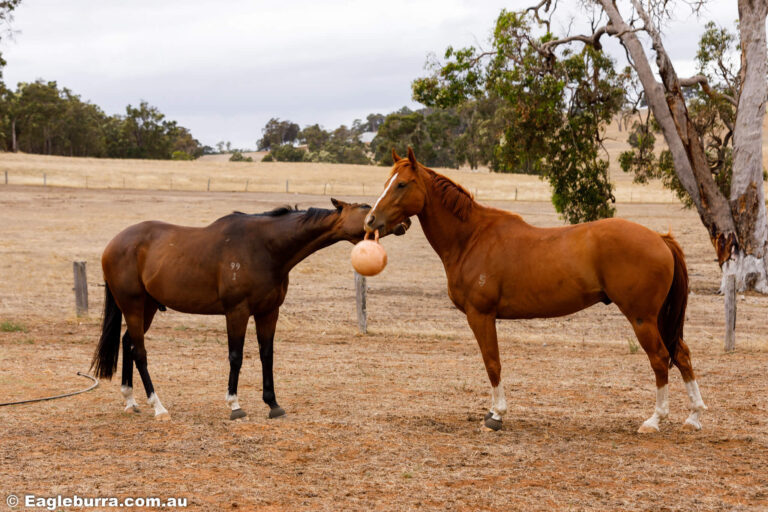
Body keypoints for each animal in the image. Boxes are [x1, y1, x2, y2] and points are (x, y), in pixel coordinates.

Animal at [91, 199, 408, 420]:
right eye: (365, 208)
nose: (402, 222)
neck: (265, 247)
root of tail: (114, 244)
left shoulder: (269, 312)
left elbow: (267, 354)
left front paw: (273, 404)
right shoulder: (237, 312)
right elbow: (236, 356)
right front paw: (235, 405)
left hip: (146, 308)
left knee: (128, 343)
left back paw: (130, 401)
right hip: (133, 305)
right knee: (140, 353)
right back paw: (158, 407)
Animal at [366, 148, 708, 432]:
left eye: (402, 184)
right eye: (386, 181)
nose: (371, 220)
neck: (472, 237)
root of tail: (659, 238)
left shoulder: (481, 316)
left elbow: (492, 363)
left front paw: (496, 415)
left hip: (642, 318)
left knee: (660, 358)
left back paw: (655, 420)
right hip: (659, 318)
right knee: (681, 354)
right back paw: (693, 416)